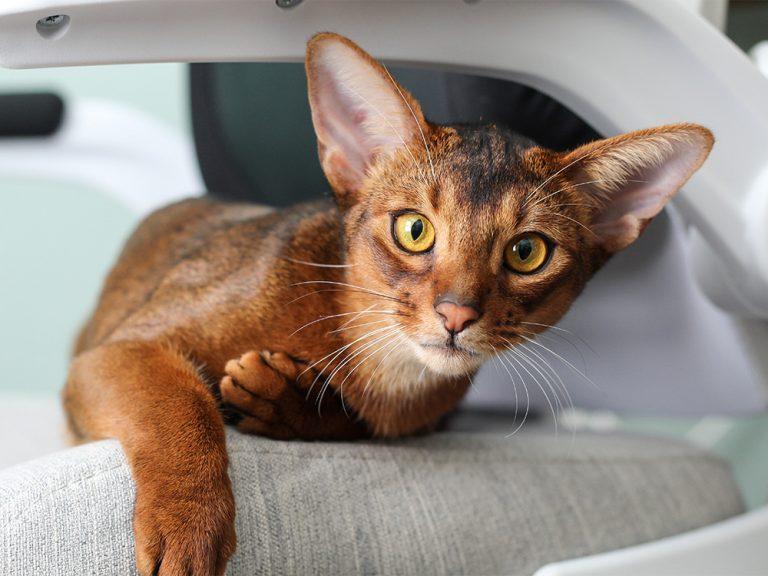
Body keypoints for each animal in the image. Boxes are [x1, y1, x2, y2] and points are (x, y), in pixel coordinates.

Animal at [61, 31, 712, 576]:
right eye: (414, 230)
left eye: (527, 251)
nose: (456, 315)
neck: (382, 361)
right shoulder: (116, 351)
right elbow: (183, 410)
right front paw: (190, 530)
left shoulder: (418, 419)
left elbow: (363, 421)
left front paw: (287, 400)